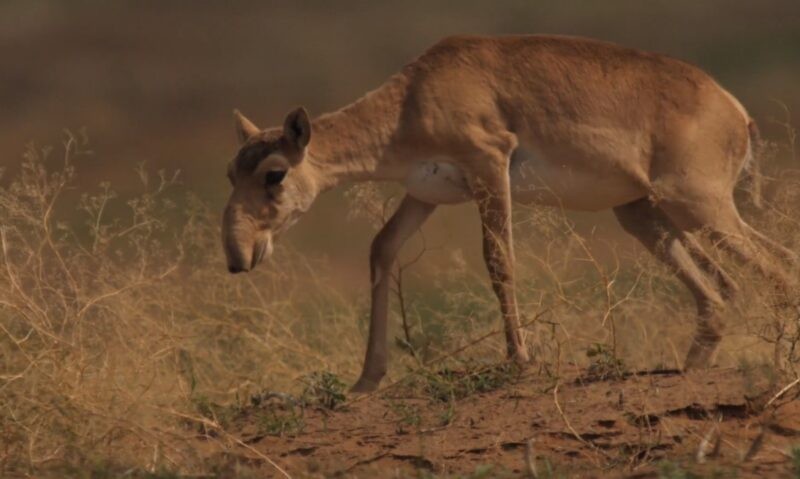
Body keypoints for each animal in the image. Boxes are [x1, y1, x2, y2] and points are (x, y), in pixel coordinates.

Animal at [222, 34, 794, 392]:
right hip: (642, 214)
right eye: (231, 171)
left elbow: (499, 261)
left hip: (700, 206)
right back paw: (694, 366)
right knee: (721, 286)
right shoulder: (426, 195)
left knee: (780, 264)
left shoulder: (490, 168)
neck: (414, 94)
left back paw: (776, 365)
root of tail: (734, 109)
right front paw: (366, 380)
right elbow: (381, 249)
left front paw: (520, 359)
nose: (237, 257)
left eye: (274, 173)